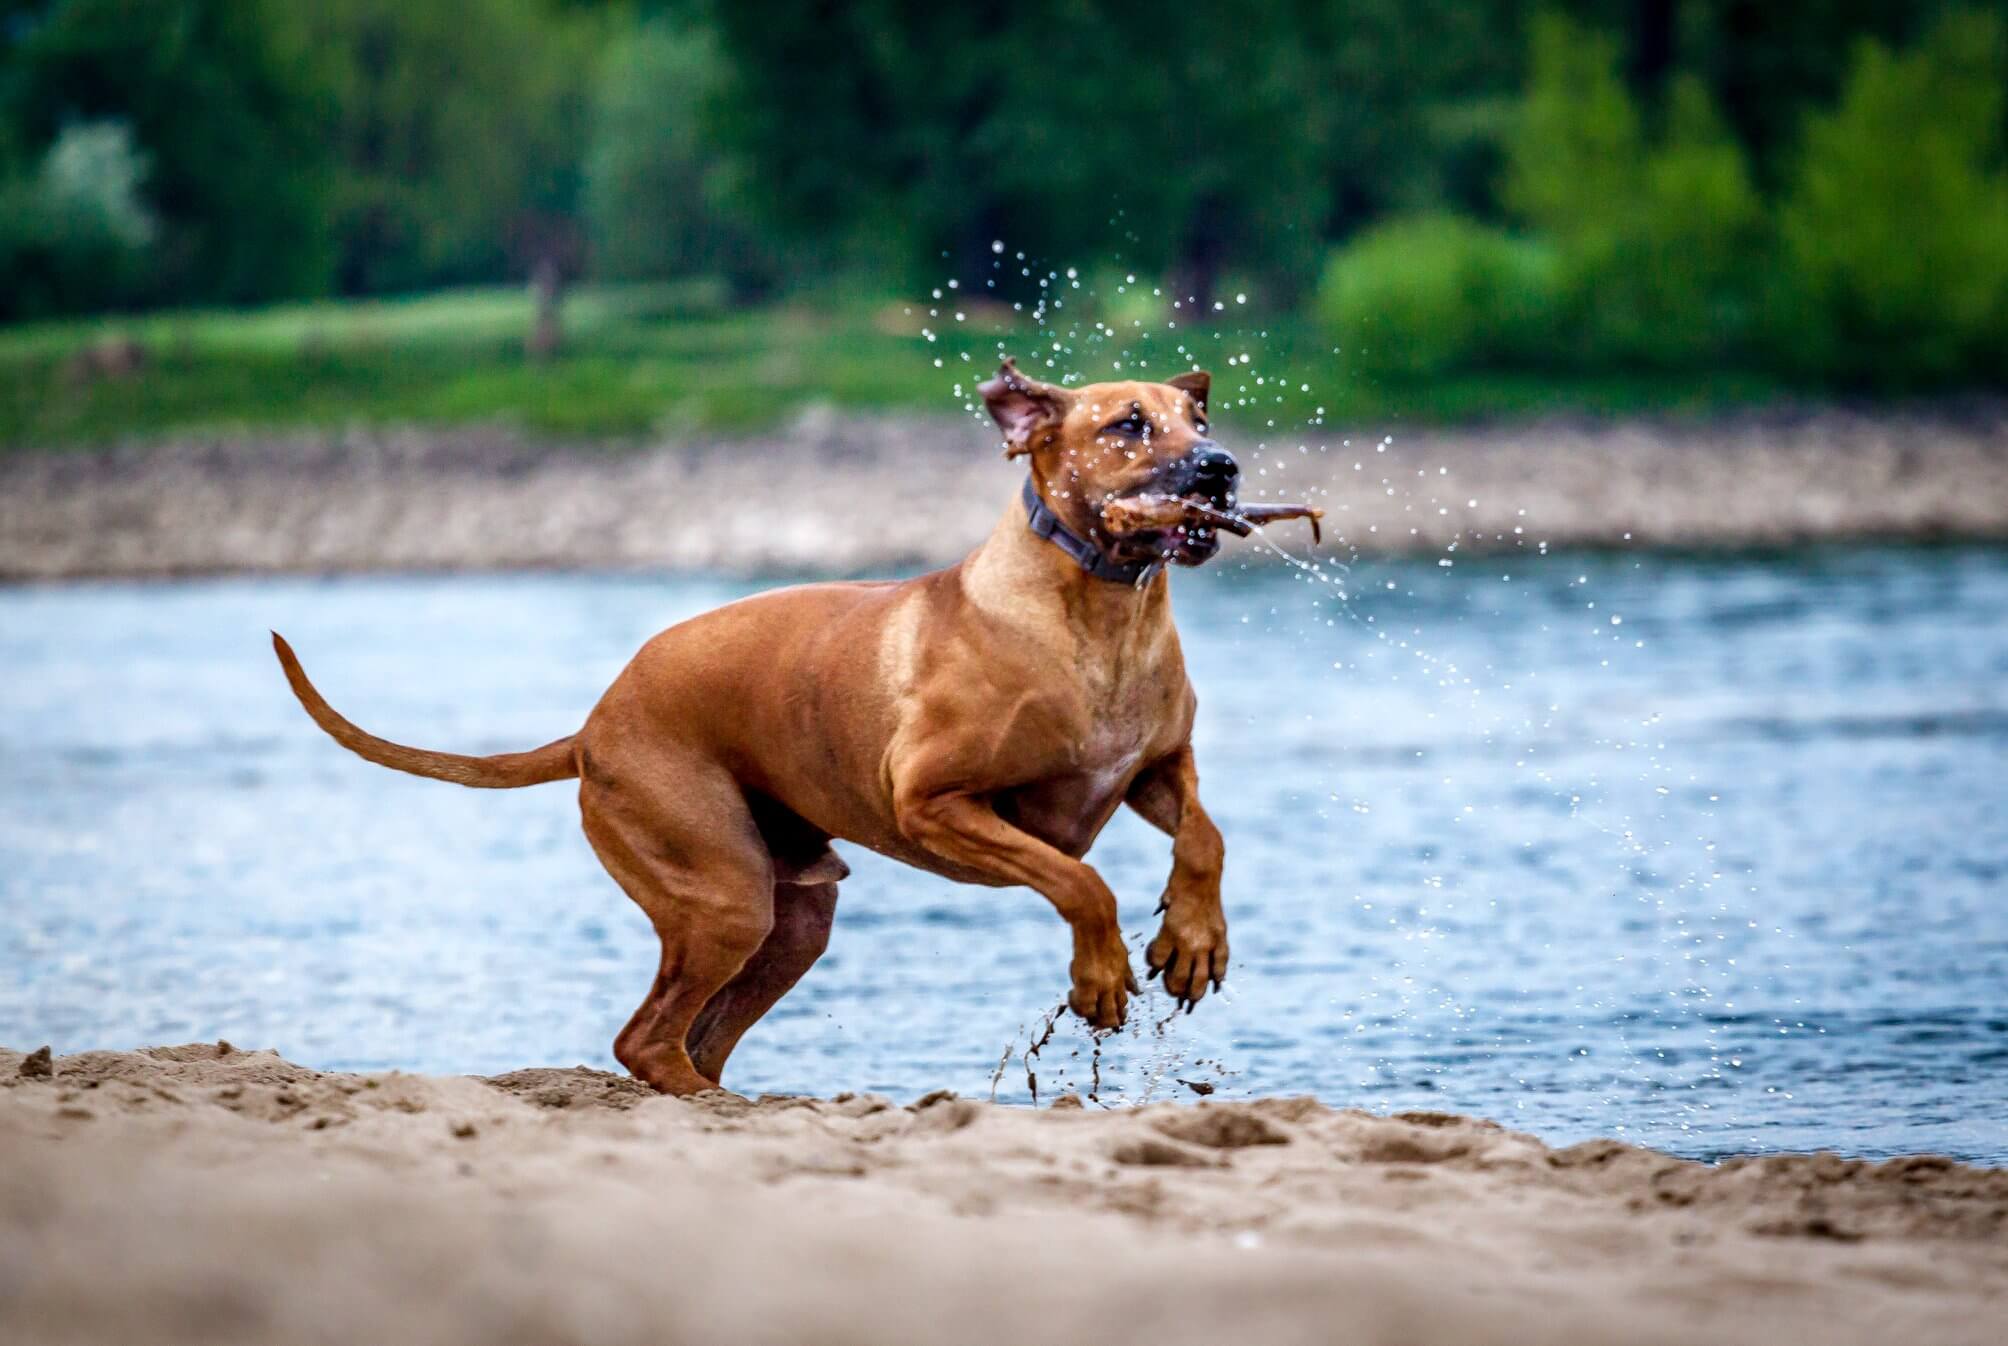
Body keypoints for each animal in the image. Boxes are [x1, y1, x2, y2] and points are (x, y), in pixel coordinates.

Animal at [271, 357, 1236, 1092]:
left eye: (1195, 417)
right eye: (1128, 425)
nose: (1221, 467)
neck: (1102, 615)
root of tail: (590, 729)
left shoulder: (1158, 765)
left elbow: (1205, 836)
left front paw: (1192, 941)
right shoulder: (934, 803)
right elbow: (1083, 882)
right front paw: (1101, 974)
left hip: (791, 919)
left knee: (695, 1035)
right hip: (725, 891)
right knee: (647, 1038)